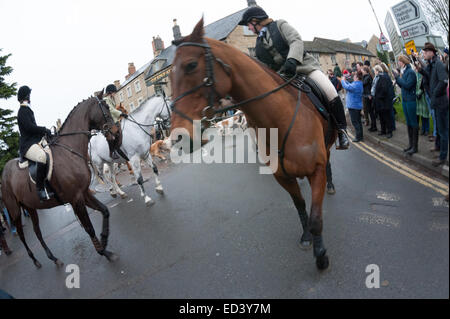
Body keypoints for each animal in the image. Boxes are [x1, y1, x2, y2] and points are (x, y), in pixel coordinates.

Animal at [0, 92, 119, 268]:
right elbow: (89, 228)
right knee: (21, 234)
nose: (116, 131)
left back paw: (53, 257)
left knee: (37, 231)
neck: (70, 150)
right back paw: (35, 260)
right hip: (14, 210)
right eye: (105, 108)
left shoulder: (83, 193)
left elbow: (105, 210)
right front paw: (103, 251)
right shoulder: (76, 198)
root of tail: (4, 173)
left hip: (30, 206)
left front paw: (104, 240)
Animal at [170, 19, 338, 270]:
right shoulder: (283, 177)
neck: (280, 119)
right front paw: (307, 237)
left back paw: (331, 184)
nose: (178, 138)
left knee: (328, 161)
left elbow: (316, 218)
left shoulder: (315, 171)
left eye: (191, 65)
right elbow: (300, 207)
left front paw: (321, 257)